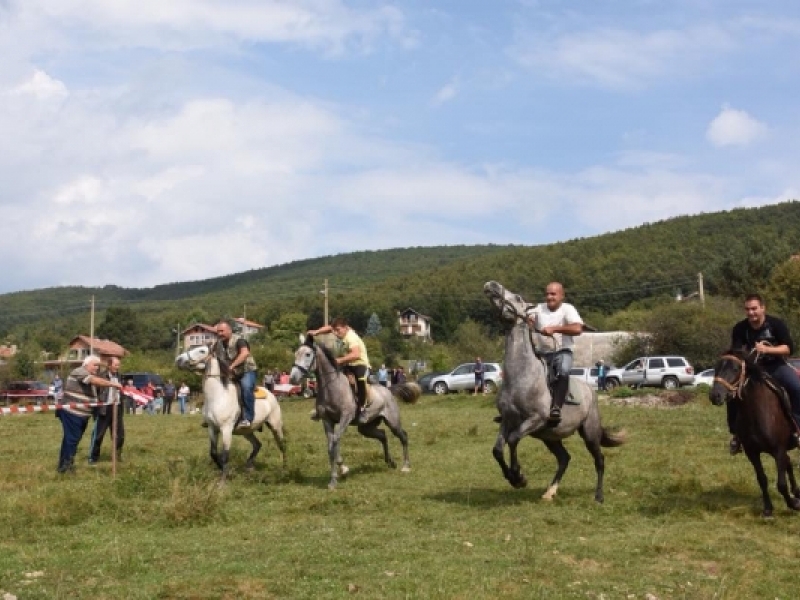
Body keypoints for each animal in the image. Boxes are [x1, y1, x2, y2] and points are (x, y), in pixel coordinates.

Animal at [175, 344, 288, 480]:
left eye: (202, 351)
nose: (178, 360)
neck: (218, 396)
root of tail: (271, 393)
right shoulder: (212, 428)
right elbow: (213, 453)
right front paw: (226, 471)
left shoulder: (226, 429)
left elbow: (225, 455)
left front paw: (223, 480)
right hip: (247, 431)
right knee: (257, 444)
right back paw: (249, 466)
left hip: (275, 425)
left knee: (282, 444)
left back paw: (284, 469)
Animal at [290, 336, 422, 490]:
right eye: (296, 353)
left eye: (308, 354)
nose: (293, 378)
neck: (331, 387)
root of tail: (388, 390)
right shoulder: (327, 420)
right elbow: (330, 445)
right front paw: (334, 479)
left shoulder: (345, 418)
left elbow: (335, 441)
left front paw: (343, 470)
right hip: (365, 427)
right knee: (383, 435)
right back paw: (390, 462)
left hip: (392, 421)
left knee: (403, 436)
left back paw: (406, 466)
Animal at [482, 282, 624, 502]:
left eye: (518, 297)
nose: (492, 285)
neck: (521, 377)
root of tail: (590, 391)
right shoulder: (508, 421)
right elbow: (497, 450)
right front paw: (512, 478)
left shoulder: (535, 419)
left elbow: (513, 440)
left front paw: (519, 477)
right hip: (550, 437)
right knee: (564, 458)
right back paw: (550, 492)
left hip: (589, 433)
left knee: (599, 459)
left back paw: (598, 496)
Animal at [708, 350, 800, 516]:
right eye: (716, 367)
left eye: (735, 369)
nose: (715, 395)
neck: (756, 412)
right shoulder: (752, 452)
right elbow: (762, 479)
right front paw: (768, 509)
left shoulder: (778, 450)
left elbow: (781, 484)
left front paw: (794, 504)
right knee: (788, 462)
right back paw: (797, 492)